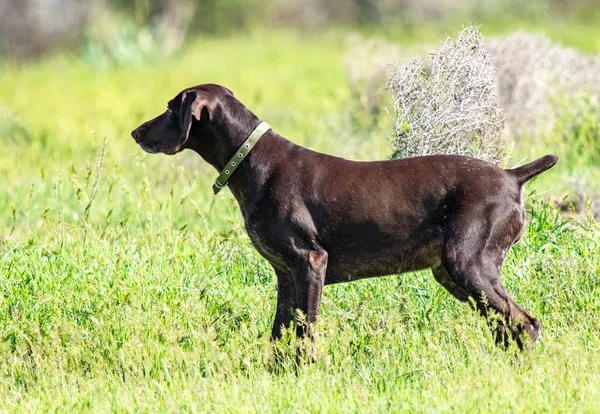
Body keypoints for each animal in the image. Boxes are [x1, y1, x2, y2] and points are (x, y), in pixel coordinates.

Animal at [131, 84, 556, 352]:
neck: (251, 161)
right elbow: (280, 336)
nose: (135, 132)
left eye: (170, 109)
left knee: (525, 324)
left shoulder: (310, 262)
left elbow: (305, 336)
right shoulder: (286, 273)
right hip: (452, 272)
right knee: (507, 329)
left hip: (467, 264)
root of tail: (512, 176)